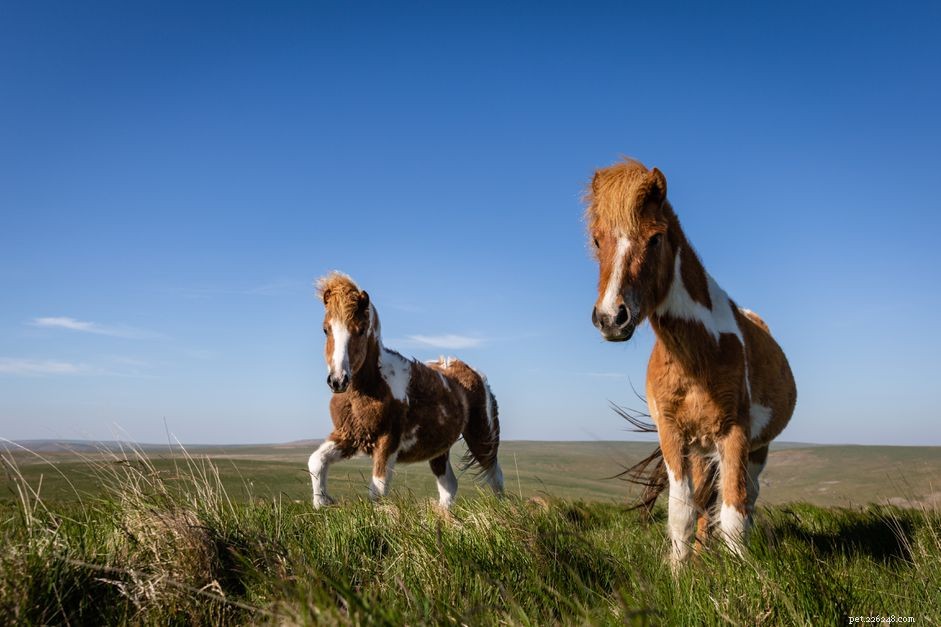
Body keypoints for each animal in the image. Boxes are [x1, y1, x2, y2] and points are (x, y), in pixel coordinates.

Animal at [307, 272, 504, 509]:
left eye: (360, 330)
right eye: (325, 329)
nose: (338, 380)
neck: (370, 388)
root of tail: (474, 373)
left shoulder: (387, 442)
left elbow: (377, 490)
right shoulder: (349, 436)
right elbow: (316, 461)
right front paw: (321, 504)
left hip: (482, 434)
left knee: (495, 476)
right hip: (439, 448)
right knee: (449, 485)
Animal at [585, 159, 796, 568]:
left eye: (655, 238)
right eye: (598, 240)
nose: (610, 317)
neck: (698, 354)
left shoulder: (735, 435)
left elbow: (733, 514)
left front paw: (739, 576)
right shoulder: (673, 434)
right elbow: (682, 511)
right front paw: (681, 574)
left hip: (754, 450)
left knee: (744, 500)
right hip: (700, 450)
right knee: (702, 501)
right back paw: (700, 557)